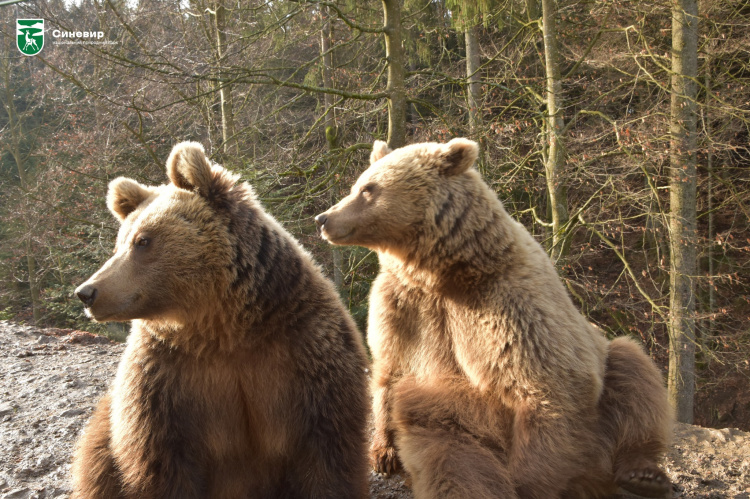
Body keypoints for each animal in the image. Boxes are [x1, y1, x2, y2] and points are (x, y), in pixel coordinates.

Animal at [72, 142, 372, 499]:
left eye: (142, 240)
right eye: (120, 243)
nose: (87, 292)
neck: (224, 326)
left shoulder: (306, 356)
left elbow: (327, 456)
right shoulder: (166, 381)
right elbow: (161, 463)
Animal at [318, 138, 676, 499]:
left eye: (368, 189)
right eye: (358, 185)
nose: (324, 218)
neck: (442, 271)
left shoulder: (508, 304)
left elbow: (547, 387)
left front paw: (529, 482)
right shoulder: (401, 306)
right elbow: (388, 367)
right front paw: (383, 451)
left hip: (600, 379)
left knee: (633, 374)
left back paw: (642, 473)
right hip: (454, 429)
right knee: (454, 465)